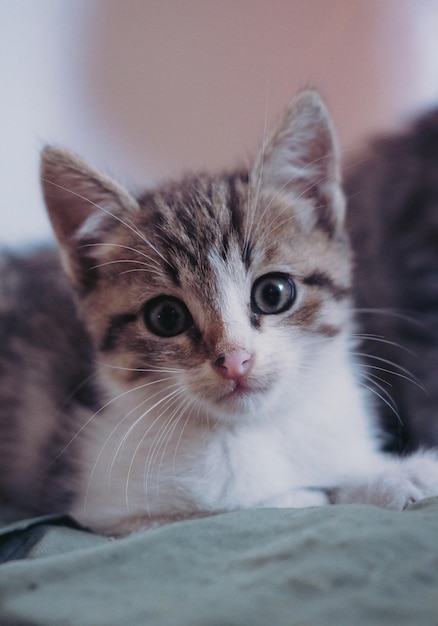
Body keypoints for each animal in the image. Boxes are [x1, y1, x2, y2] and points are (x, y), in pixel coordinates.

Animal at [0, 90, 438, 532]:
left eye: (274, 293)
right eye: (166, 317)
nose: (234, 360)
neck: (259, 428)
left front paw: (400, 473)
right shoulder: (111, 510)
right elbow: (264, 504)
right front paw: (337, 488)